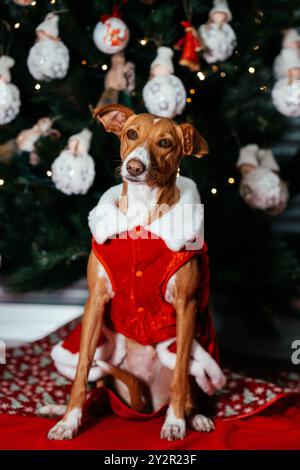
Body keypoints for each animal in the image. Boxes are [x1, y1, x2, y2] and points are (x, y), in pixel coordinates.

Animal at [41, 103, 226, 440]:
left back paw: (195, 417)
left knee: (190, 384)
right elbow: (82, 368)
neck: (143, 216)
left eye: (165, 143)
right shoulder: (96, 300)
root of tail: (145, 407)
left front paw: (175, 422)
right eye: (131, 134)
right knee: (99, 394)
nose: (135, 166)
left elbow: (181, 371)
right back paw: (57, 409)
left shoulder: (187, 306)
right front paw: (69, 421)